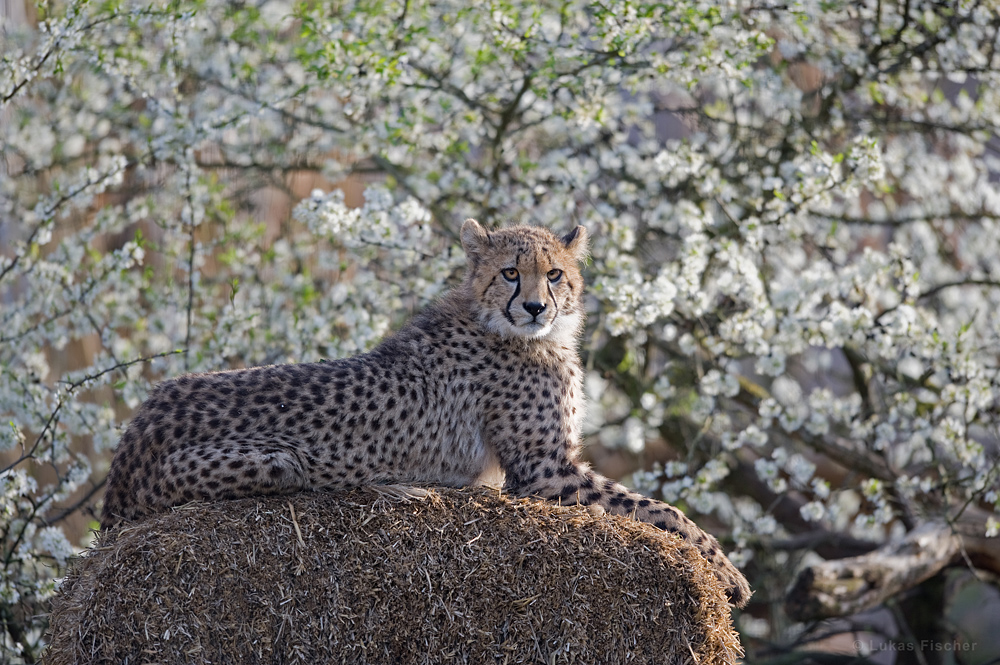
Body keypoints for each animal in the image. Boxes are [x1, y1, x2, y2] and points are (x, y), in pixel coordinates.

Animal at [103, 219, 752, 608]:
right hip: (278, 461)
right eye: (511, 273)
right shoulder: (545, 472)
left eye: (555, 274)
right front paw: (726, 572)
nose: (536, 307)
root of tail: (142, 420)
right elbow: (659, 510)